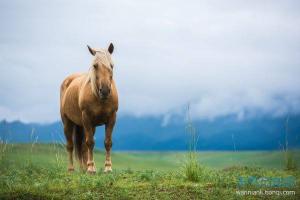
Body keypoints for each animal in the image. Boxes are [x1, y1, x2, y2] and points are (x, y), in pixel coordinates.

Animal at [60, 42, 118, 173]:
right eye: (95, 66)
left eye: (111, 65)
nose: (105, 90)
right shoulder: (86, 118)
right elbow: (90, 142)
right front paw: (91, 168)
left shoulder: (112, 118)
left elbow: (108, 142)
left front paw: (108, 168)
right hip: (68, 122)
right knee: (70, 145)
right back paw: (71, 169)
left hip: (88, 126)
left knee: (82, 147)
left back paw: (83, 169)